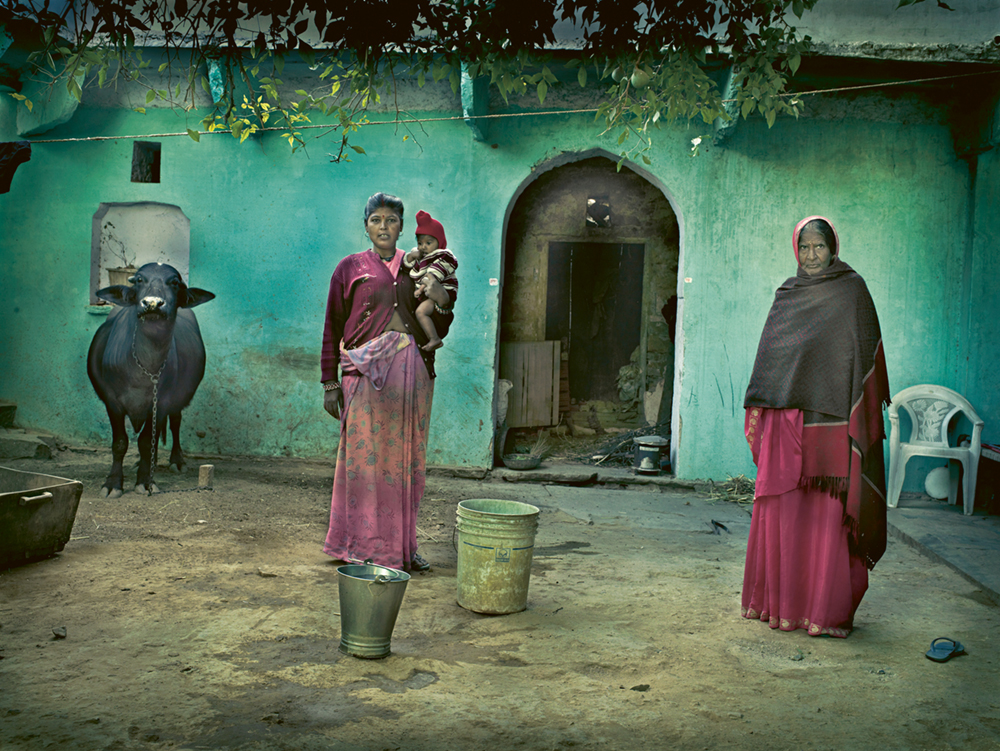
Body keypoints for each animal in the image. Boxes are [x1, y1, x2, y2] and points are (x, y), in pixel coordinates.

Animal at [89, 262, 216, 496]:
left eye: (174, 282)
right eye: (140, 279)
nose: (152, 303)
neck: (146, 367)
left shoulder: (162, 403)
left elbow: (147, 441)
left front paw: (145, 481)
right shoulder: (112, 402)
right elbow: (120, 443)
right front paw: (113, 483)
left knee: (175, 424)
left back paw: (176, 461)